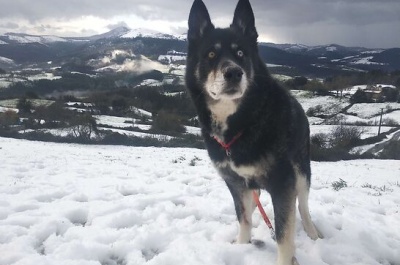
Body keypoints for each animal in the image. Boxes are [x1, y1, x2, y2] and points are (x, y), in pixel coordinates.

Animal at [186, 0, 324, 264]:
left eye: (241, 53)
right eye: (211, 54)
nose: (234, 73)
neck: (242, 122)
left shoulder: (283, 183)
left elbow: (283, 233)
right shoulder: (235, 182)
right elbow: (244, 218)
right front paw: (241, 246)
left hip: (301, 170)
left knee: (303, 206)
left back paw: (313, 232)